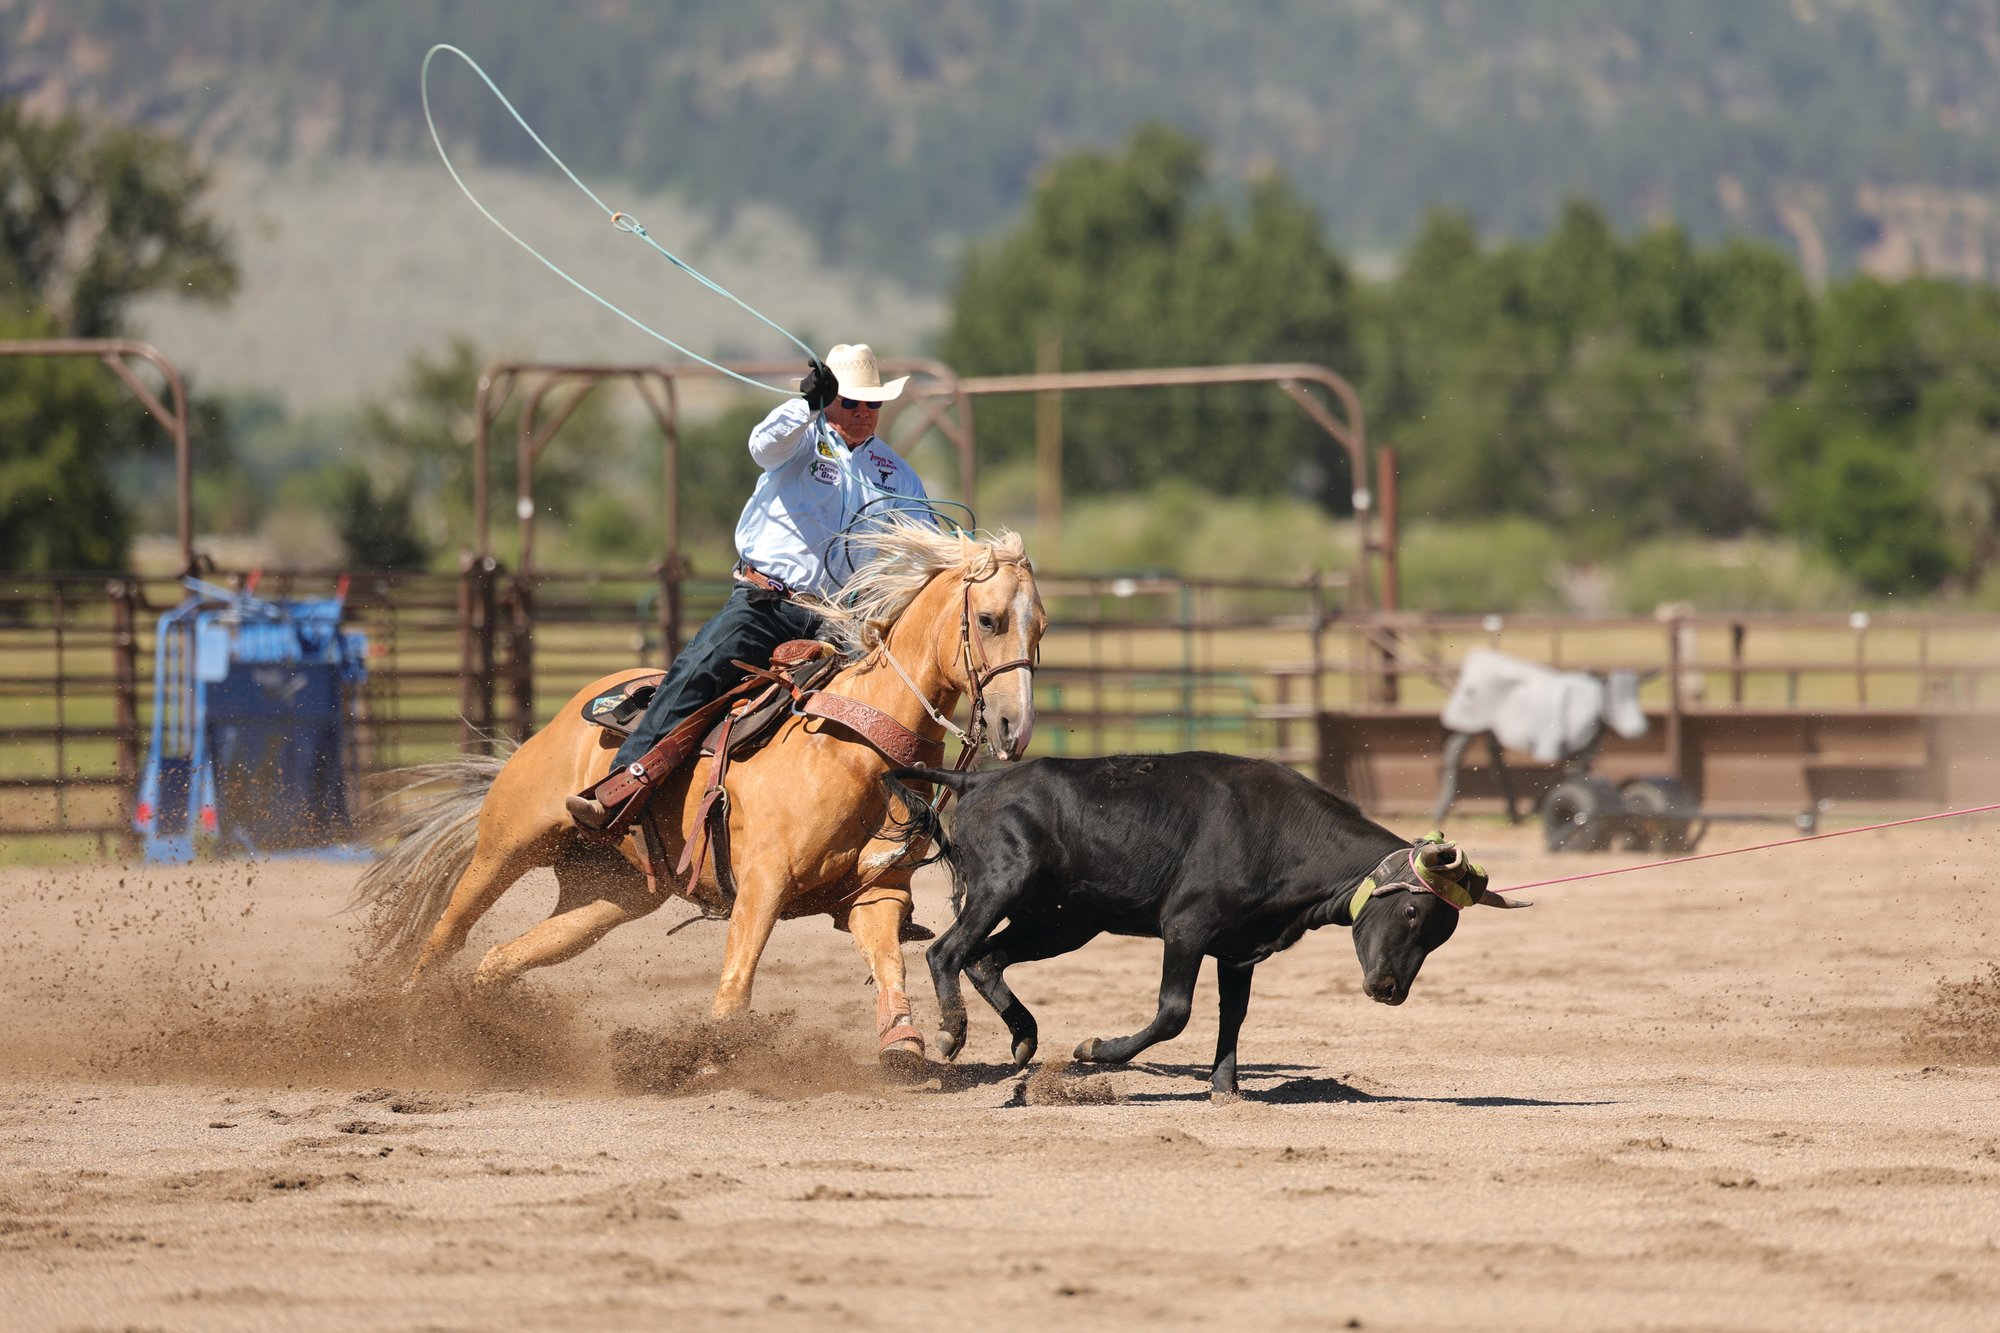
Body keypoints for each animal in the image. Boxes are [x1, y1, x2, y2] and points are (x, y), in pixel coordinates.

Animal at [352, 524, 1044, 1068]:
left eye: (1038, 628)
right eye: (988, 620)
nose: (1016, 728)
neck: (851, 746)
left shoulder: (877, 894)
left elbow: (887, 963)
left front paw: (904, 1041)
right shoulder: (763, 883)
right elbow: (737, 981)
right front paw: (708, 1056)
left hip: (608, 896)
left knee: (501, 956)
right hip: (508, 845)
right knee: (448, 933)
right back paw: (405, 1024)